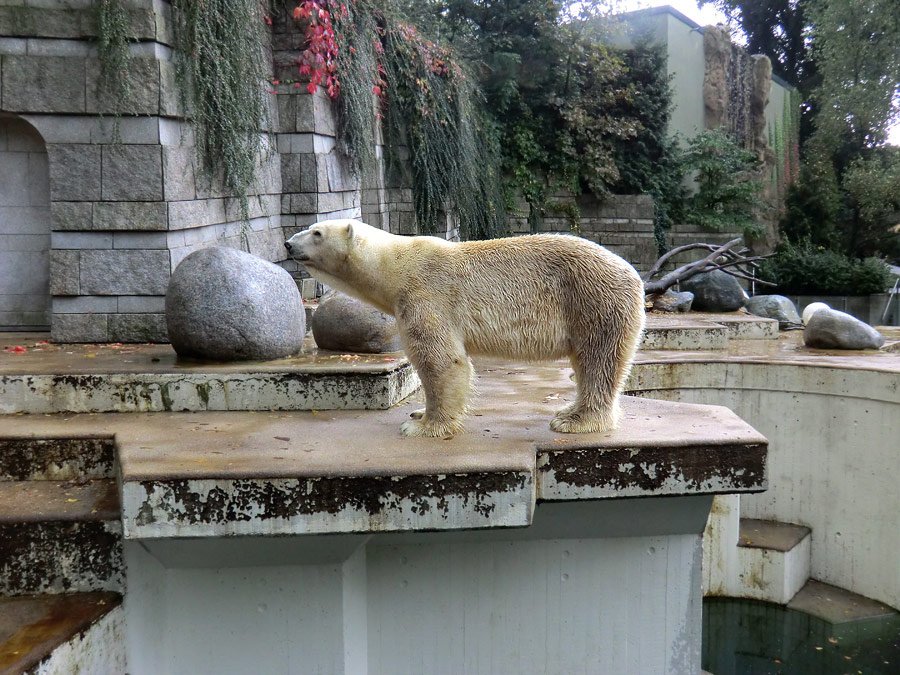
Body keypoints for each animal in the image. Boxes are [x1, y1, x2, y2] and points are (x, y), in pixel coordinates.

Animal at [284, 220, 644, 438]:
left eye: (316, 233)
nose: (288, 243)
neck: (395, 265)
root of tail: (634, 274)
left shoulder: (424, 294)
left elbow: (441, 360)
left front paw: (422, 426)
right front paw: (417, 414)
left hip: (592, 300)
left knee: (598, 360)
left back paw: (574, 420)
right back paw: (569, 410)